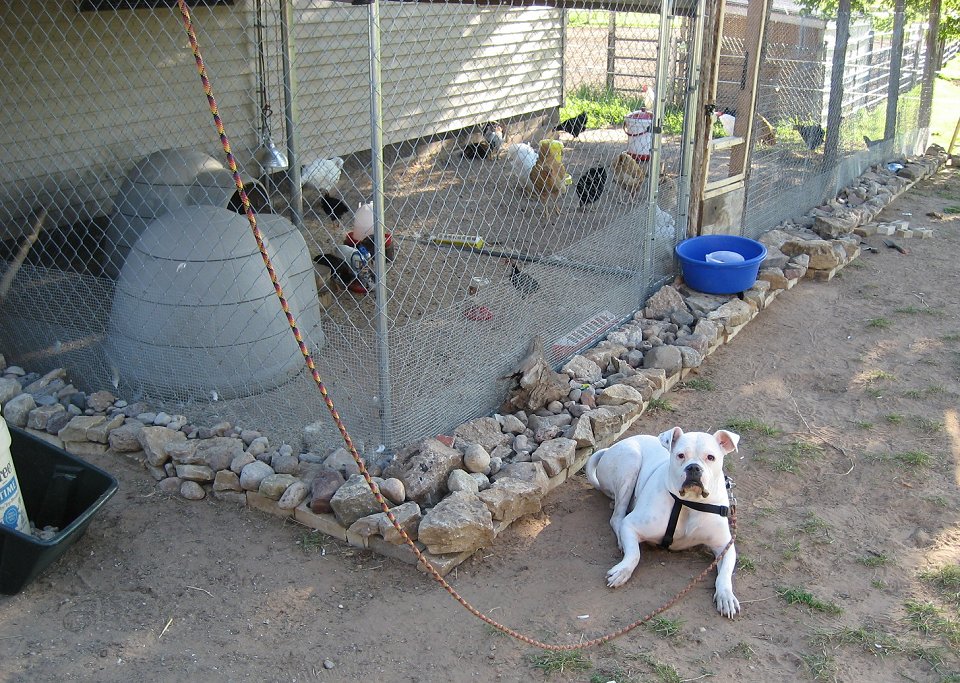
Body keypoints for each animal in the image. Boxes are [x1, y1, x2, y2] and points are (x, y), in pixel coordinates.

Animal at [586, 427, 741, 618]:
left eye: (710, 457)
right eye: (680, 455)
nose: (694, 467)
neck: (688, 503)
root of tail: (610, 448)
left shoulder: (724, 545)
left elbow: (724, 573)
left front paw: (725, 595)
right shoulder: (631, 525)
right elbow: (634, 554)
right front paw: (622, 570)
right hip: (631, 461)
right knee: (617, 517)